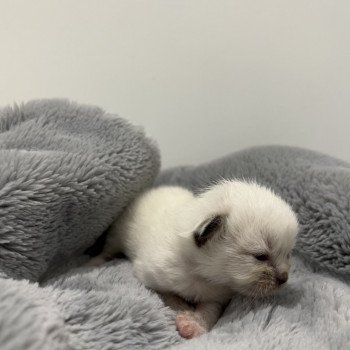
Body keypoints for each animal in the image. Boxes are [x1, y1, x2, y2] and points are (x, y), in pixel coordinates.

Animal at [88, 180, 298, 340]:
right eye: (260, 256)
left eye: (287, 254)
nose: (284, 279)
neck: (203, 274)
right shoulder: (151, 277)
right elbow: (172, 298)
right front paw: (186, 315)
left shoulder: (216, 295)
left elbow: (209, 311)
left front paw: (195, 325)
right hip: (117, 233)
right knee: (109, 248)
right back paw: (96, 261)